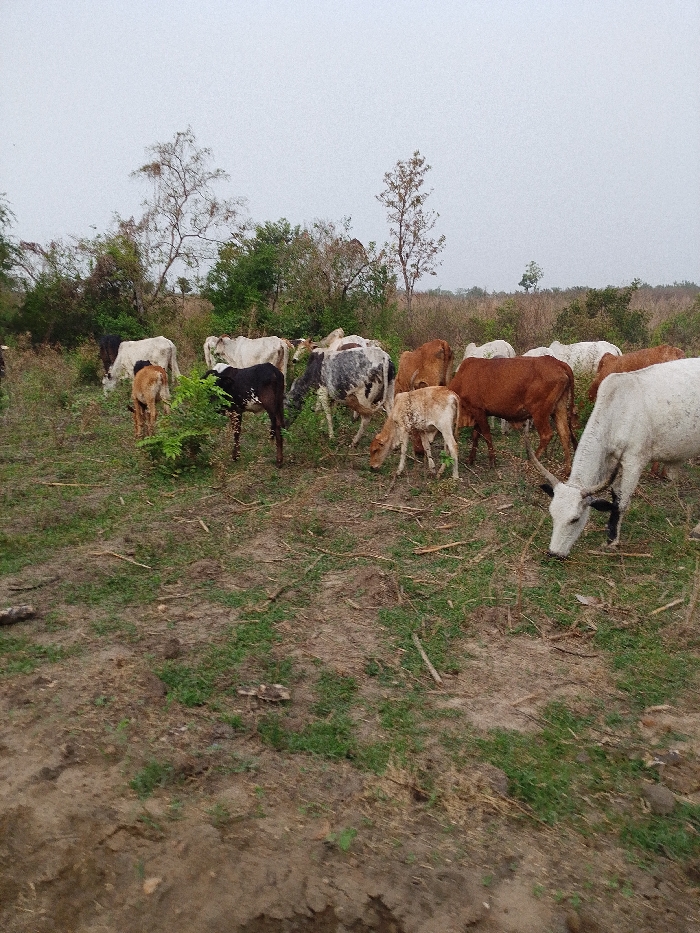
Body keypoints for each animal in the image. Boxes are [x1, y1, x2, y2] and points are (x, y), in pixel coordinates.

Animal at [448, 355, 577, 472]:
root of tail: (557, 362)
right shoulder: (480, 413)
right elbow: (476, 435)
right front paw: (471, 459)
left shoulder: (478, 410)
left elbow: (486, 435)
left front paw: (492, 461)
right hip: (559, 408)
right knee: (564, 433)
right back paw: (567, 470)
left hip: (539, 412)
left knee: (547, 435)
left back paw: (531, 463)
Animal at [528, 358, 700, 557]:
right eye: (552, 514)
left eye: (575, 519)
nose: (554, 553)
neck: (619, 410)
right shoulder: (613, 461)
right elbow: (616, 496)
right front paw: (609, 536)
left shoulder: (634, 462)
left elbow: (623, 502)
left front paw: (613, 541)